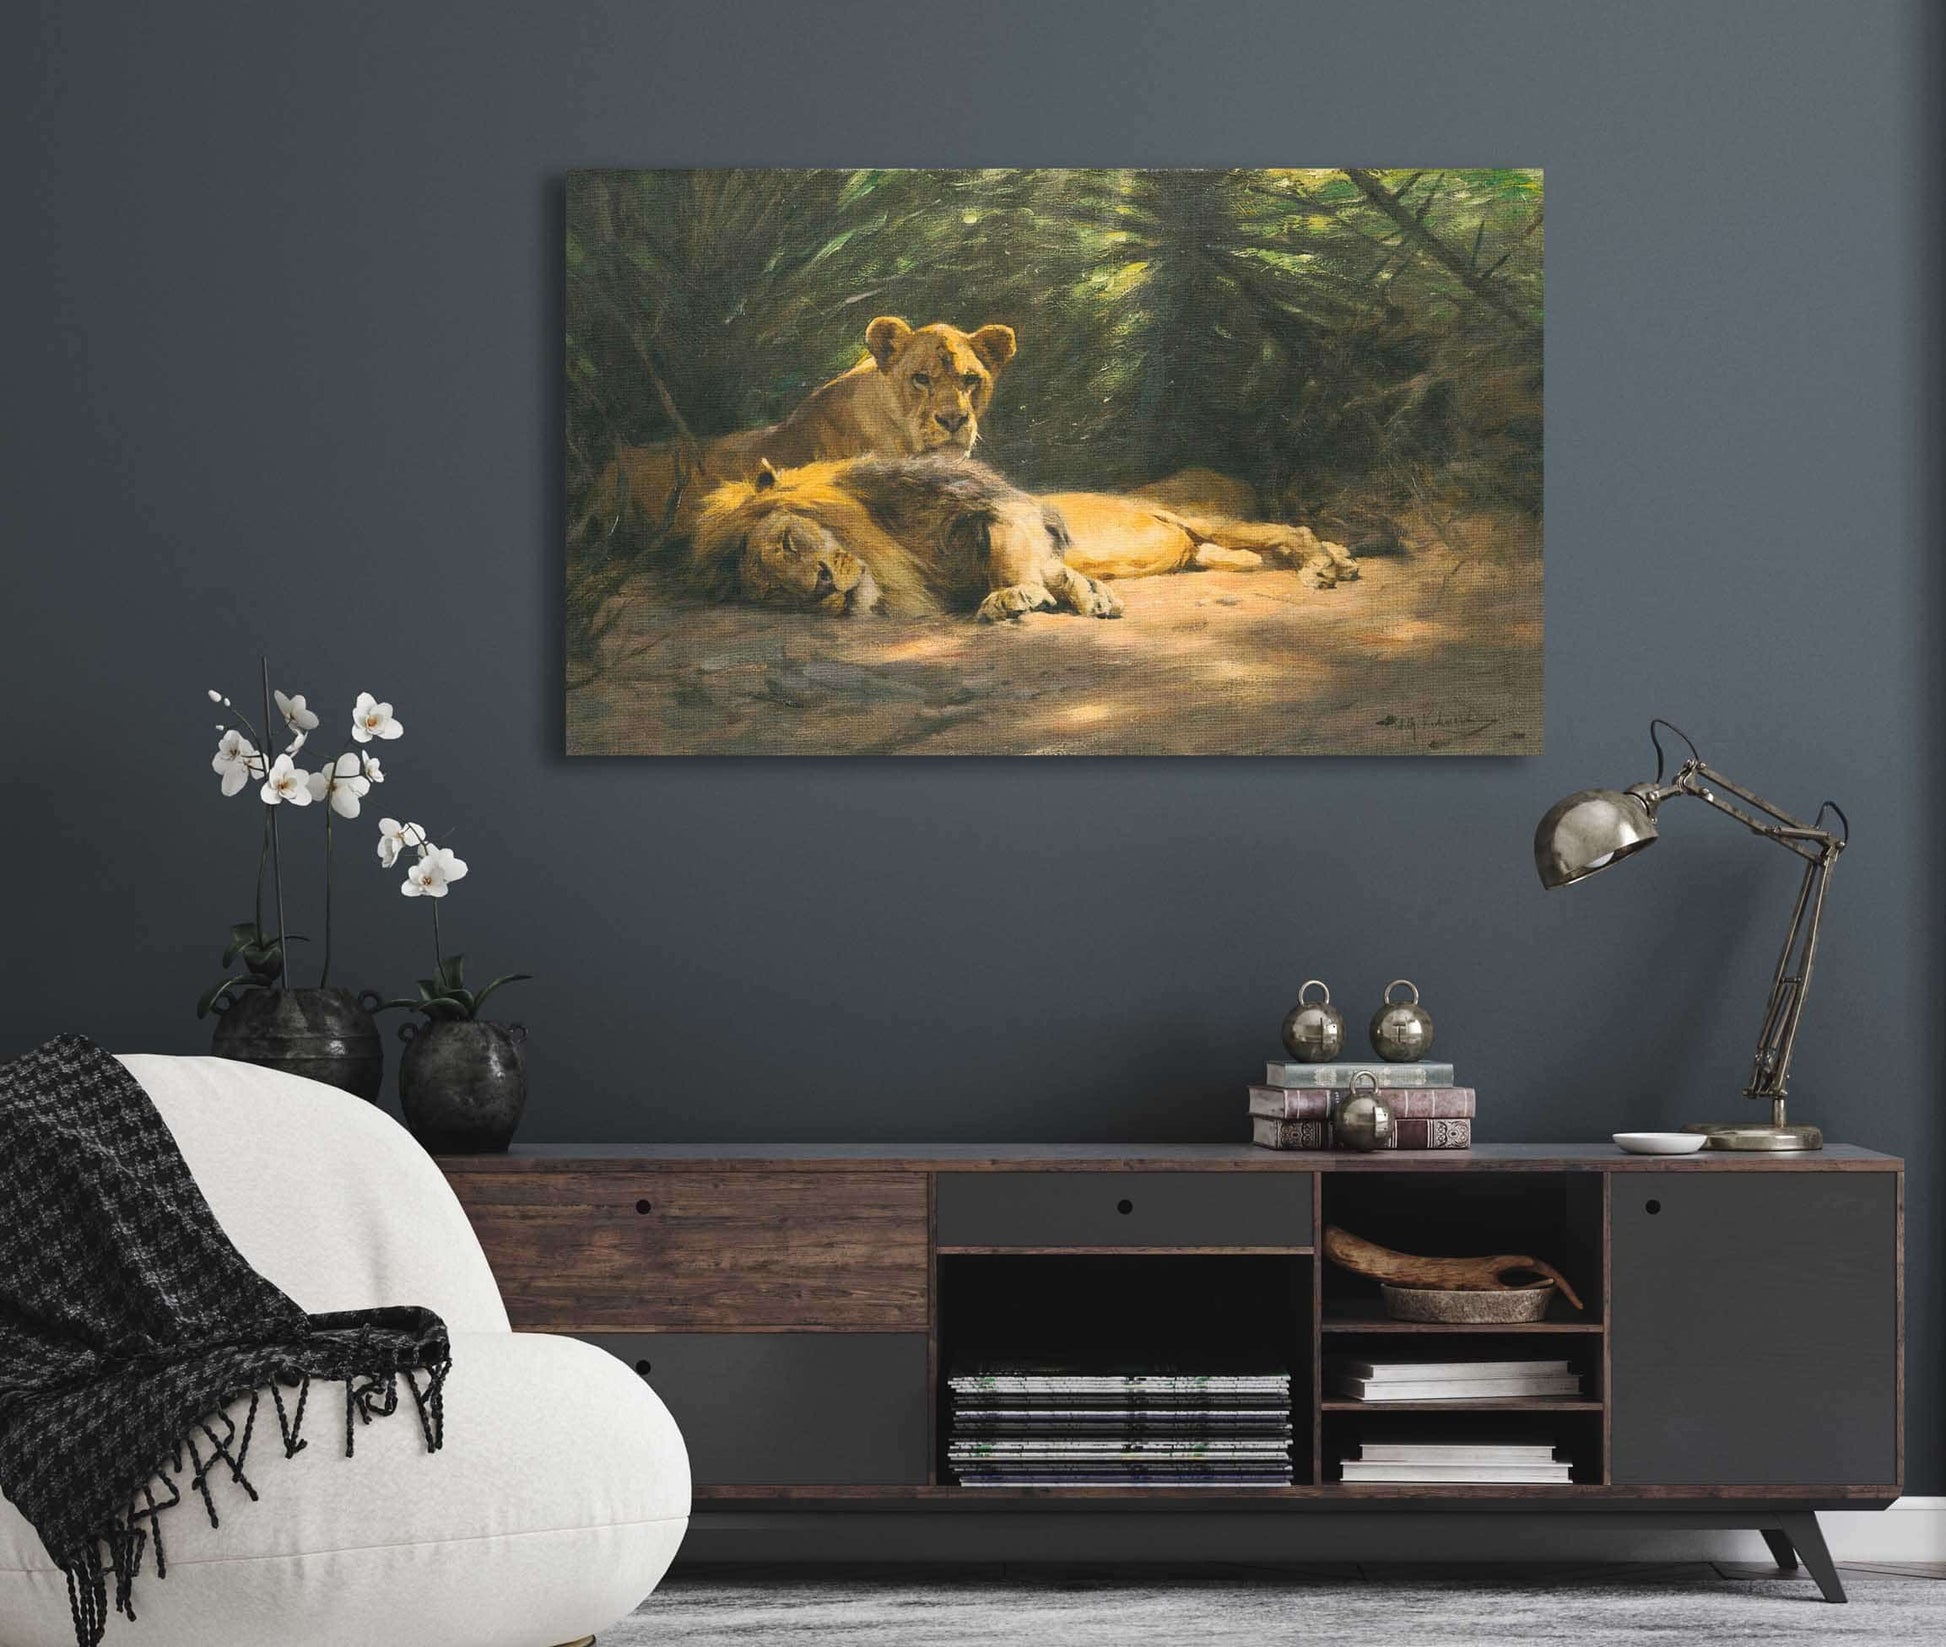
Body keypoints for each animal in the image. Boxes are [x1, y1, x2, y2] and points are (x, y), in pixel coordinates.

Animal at [688, 456, 1121, 624]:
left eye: (789, 541)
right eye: (776, 591)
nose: (821, 585)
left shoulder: (981, 498)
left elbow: (1011, 548)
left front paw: (1013, 592)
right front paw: (1084, 590)